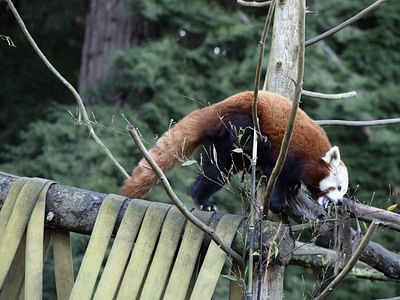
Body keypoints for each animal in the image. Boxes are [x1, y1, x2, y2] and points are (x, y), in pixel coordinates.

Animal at [120, 90, 348, 212]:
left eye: (343, 191)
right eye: (337, 187)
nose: (338, 202)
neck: (310, 156)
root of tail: (216, 107)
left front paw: (293, 188)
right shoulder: (290, 152)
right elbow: (276, 177)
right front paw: (277, 202)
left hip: (221, 147)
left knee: (215, 174)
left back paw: (203, 200)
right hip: (237, 120)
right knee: (241, 137)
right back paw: (258, 142)